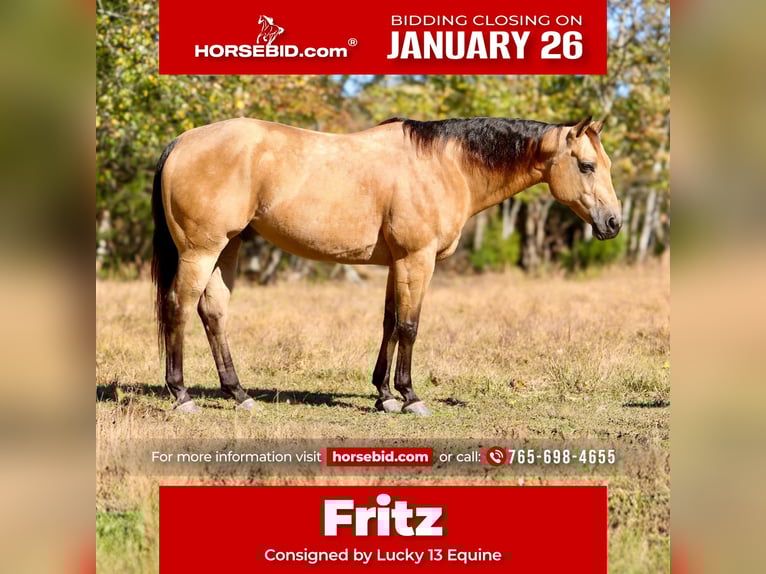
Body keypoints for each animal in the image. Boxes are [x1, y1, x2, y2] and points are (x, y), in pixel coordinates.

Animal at [151, 115, 622, 415]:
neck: (445, 165)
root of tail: (182, 141)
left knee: (213, 312)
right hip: (201, 250)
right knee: (179, 307)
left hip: (227, 249)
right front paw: (410, 397)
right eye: (586, 165)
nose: (613, 223)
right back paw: (182, 395)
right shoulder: (417, 260)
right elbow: (410, 326)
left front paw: (384, 394)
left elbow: (390, 323)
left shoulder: (398, 263)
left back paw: (239, 393)